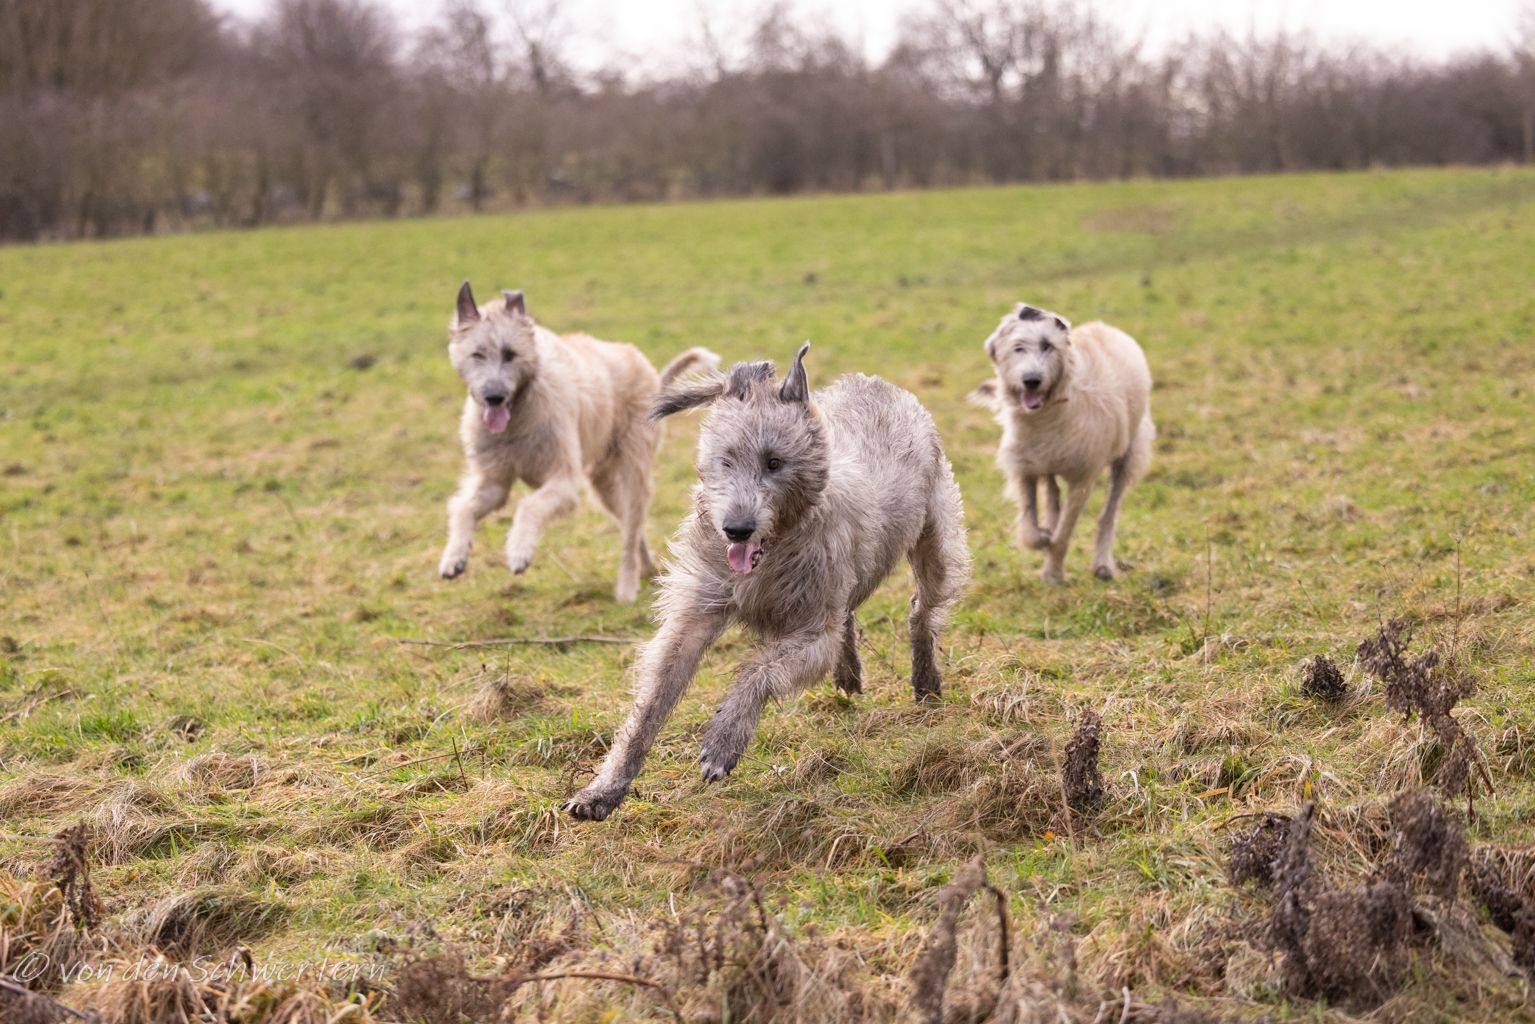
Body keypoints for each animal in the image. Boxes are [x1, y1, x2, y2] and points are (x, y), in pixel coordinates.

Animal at [437, 281, 717, 603]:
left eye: (510, 354)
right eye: (477, 354)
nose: (493, 396)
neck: (519, 408)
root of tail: (653, 376)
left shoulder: (563, 479)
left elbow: (529, 506)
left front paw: (519, 550)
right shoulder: (494, 481)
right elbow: (465, 508)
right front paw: (454, 556)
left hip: (634, 469)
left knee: (631, 529)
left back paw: (627, 586)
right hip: (604, 484)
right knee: (632, 528)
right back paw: (648, 568)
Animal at [564, 343, 971, 821]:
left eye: (774, 462)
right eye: (725, 460)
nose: (737, 529)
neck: (774, 550)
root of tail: (874, 382)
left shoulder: (812, 629)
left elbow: (762, 670)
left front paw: (724, 739)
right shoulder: (697, 608)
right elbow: (653, 698)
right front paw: (603, 789)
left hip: (937, 535)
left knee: (921, 608)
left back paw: (925, 677)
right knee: (849, 612)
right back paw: (850, 670)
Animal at [971, 303, 1153, 583]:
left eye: (1048, 346)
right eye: (1018, 347)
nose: (1031, 380)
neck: (1047, 416)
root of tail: (1106, 328)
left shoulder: (1083, 480)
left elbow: (1064, 533)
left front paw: (1053, 572)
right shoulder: (1024, 468)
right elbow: (1029, 524)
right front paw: (1043, 537)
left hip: (1129, 454)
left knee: (1109, 513)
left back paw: (1103, 563)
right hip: (1047, 464)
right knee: (1052, 493)